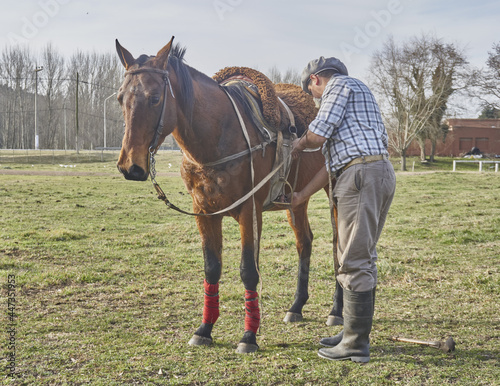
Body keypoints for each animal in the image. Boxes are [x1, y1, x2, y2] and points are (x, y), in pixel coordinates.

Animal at [116, 37, 332, 352]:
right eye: (121, 98)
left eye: (155, 98)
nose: (130, 166)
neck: (218, 137)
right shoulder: (204, 211)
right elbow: (211, 268)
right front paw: (205, 329)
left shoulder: (250, 211)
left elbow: (248, 270)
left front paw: (249, 335)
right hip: (297, 199)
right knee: (304, 242)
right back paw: (296, 306)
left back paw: (337, 312)